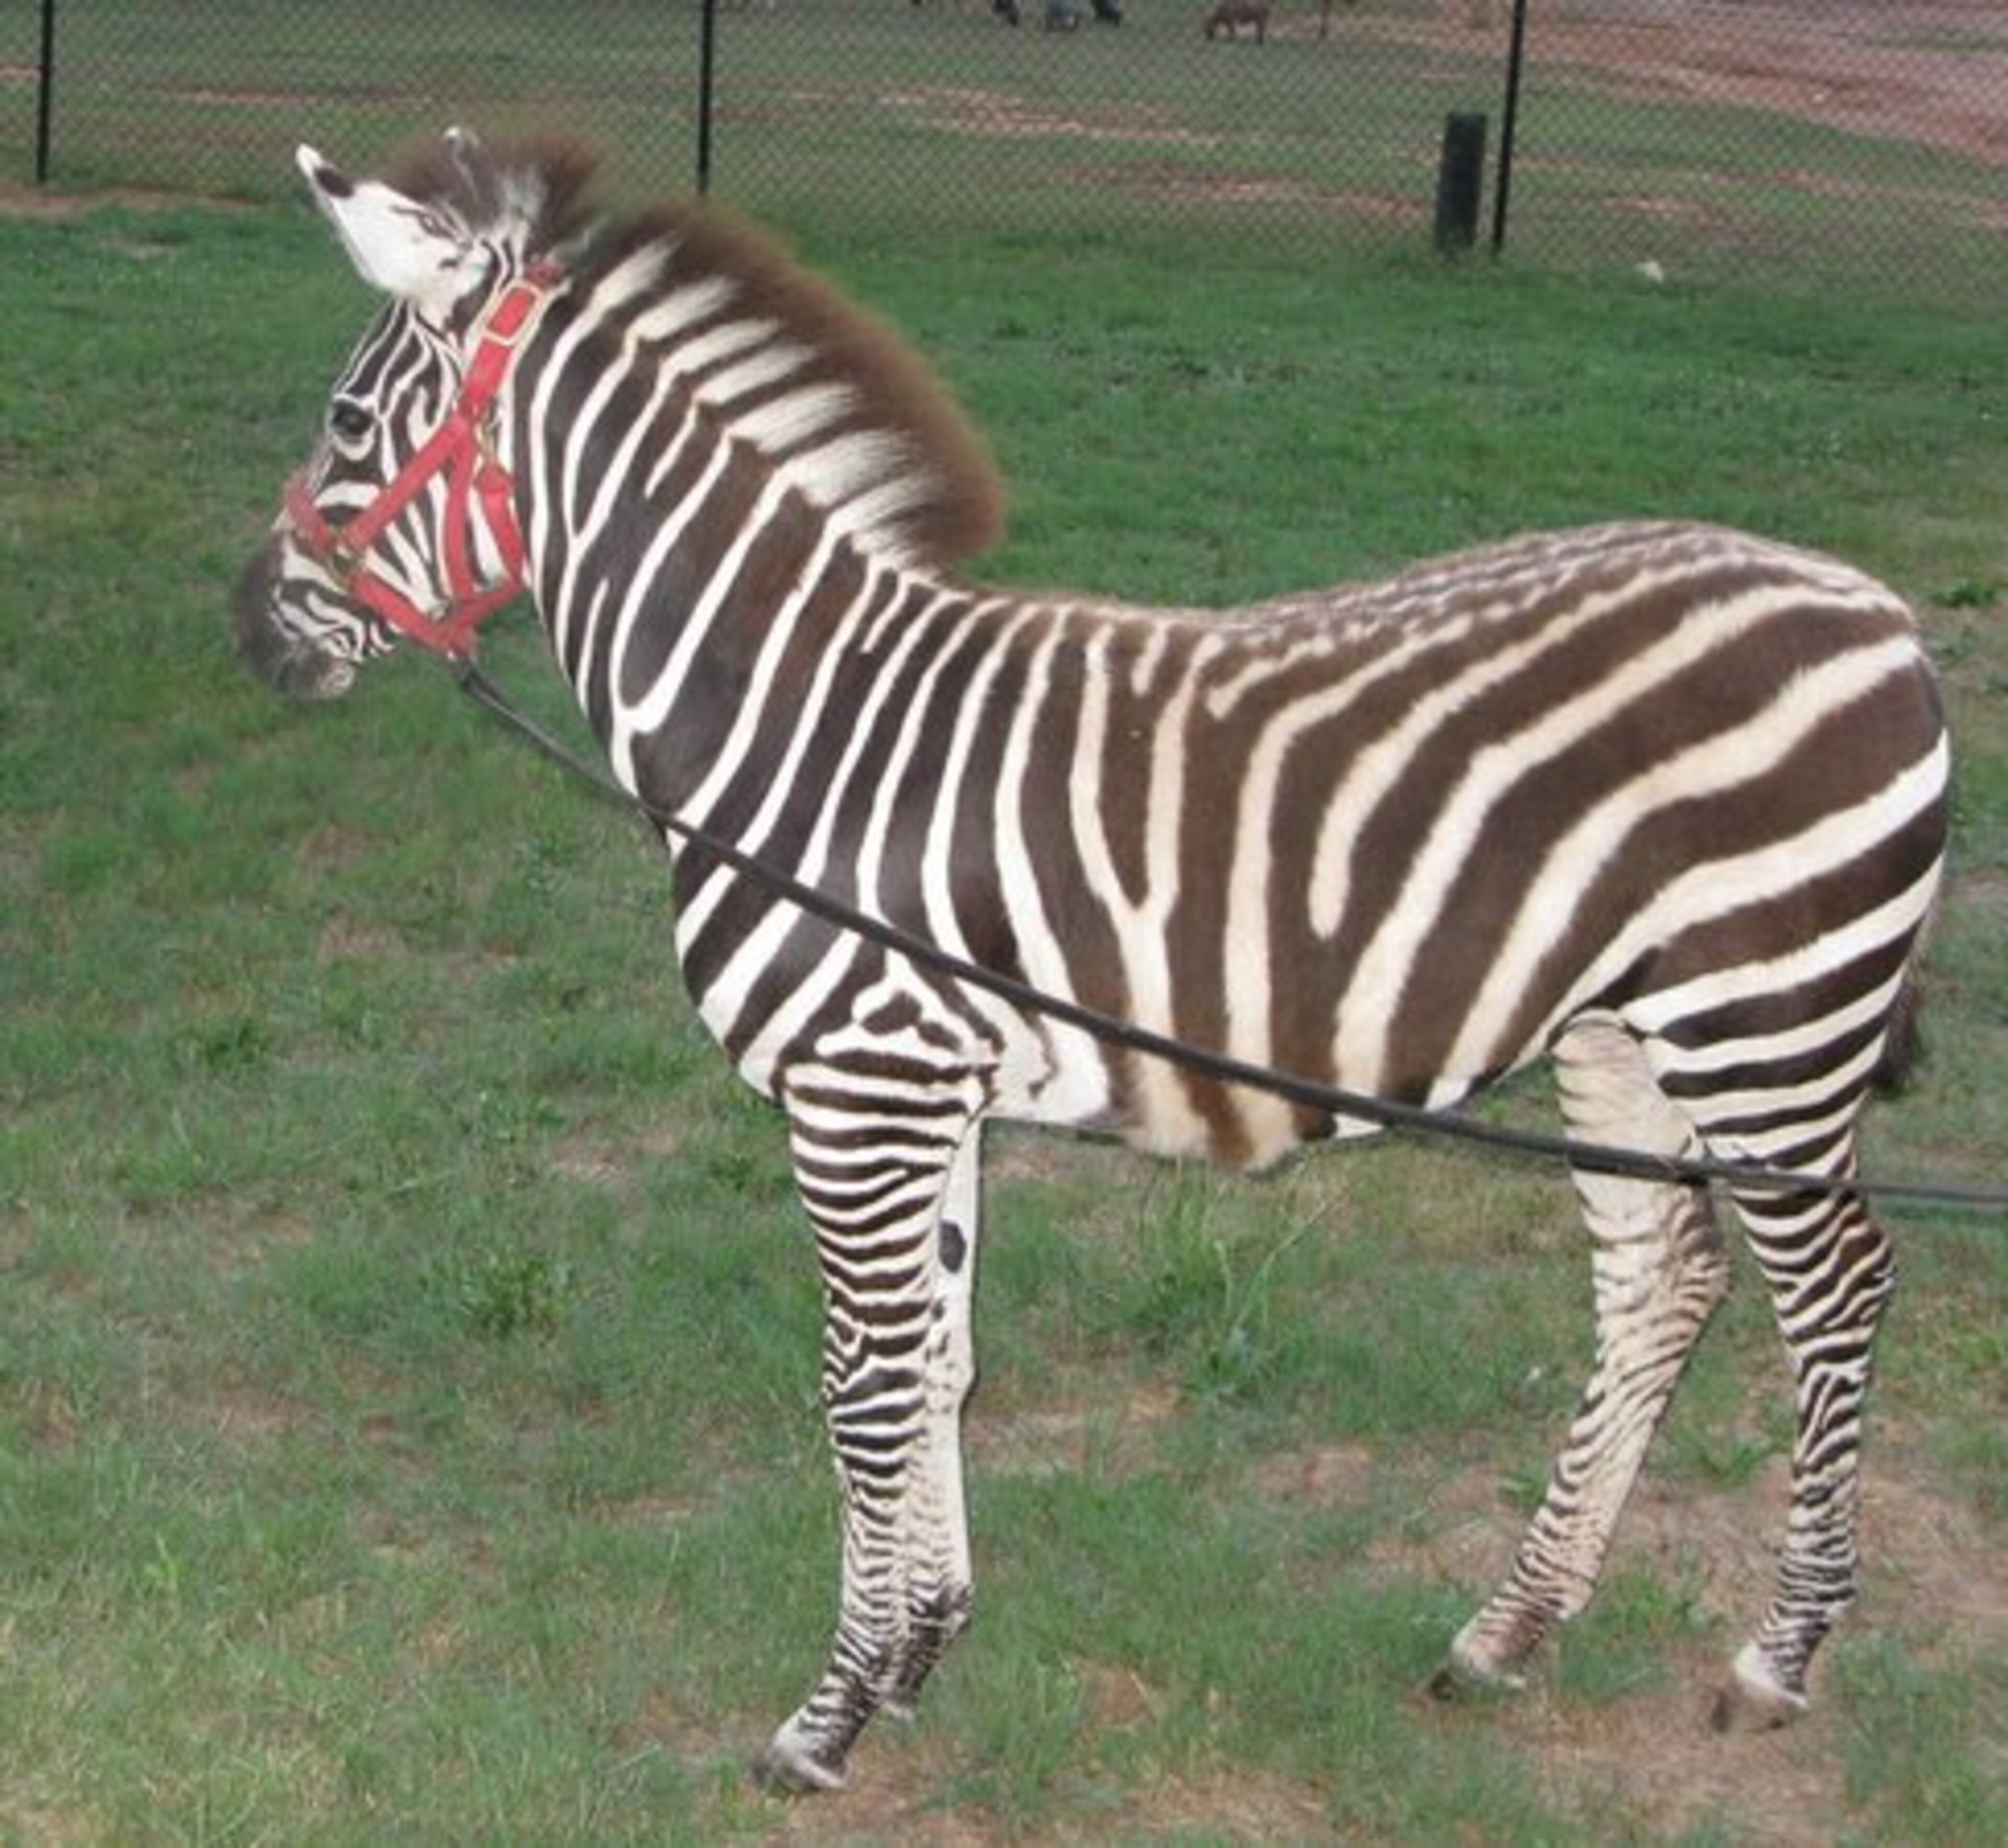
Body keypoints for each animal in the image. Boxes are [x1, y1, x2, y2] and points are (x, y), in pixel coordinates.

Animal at [233, 130, 1949, 1794]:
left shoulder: (855, 1097)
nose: (248, 630)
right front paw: (921, 1650)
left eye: (344, 419)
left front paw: (826, 1716)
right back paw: (1505, 1630)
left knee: (1835, 1290)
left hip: (1768, 1021)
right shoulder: (924, 1096)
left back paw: (1777, 1654)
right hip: (1620, 1028)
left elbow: (861, 1388)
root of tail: (1875, 606)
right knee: (1659, 1277)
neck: (798, 721)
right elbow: (940, 1363)